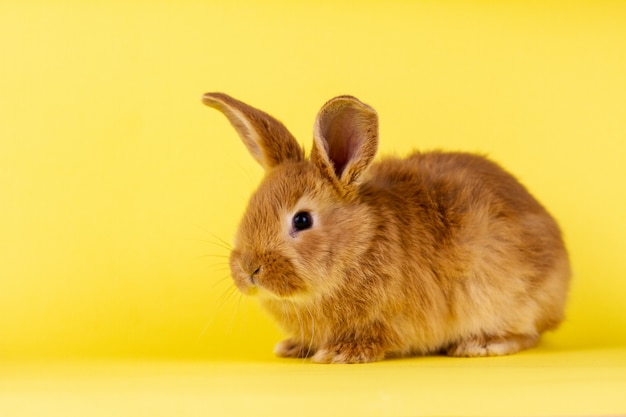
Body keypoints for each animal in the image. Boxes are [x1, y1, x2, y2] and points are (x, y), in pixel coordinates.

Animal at [202, 92, 568, 362]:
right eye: (251, 206)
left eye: (302, 220)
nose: (248, 269)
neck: (358, 245)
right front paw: (293, 347)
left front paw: (339, 354)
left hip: (506, 297)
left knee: (526, 335)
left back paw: (479, 345)